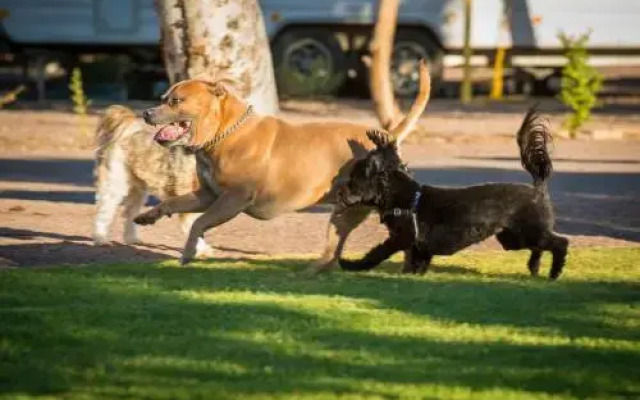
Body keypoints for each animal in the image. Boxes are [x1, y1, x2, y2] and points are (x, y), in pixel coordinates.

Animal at [134, 61, 430, 268]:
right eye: (163, 99)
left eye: (176, 101)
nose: (146, 112)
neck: (224, 133)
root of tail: (387, 138)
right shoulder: (208, 195)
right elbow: (174, 202)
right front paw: (150, 215)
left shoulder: (232, 199)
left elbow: (198, 223)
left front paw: (187, 254)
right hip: (344, 211)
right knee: (333, 248)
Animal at [338, 108, 568, 280]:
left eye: (353, 181)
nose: (339, 193)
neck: (406, 197)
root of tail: (538, 188)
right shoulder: (418, 246)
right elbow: (416, 262)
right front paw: (412, 275)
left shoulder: (402, 238)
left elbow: (376, 253)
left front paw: (350, 264)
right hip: (512, 238)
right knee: (538, 248)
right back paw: (534, 267)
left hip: (528, 231)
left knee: (560, 243)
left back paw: (554, 273)